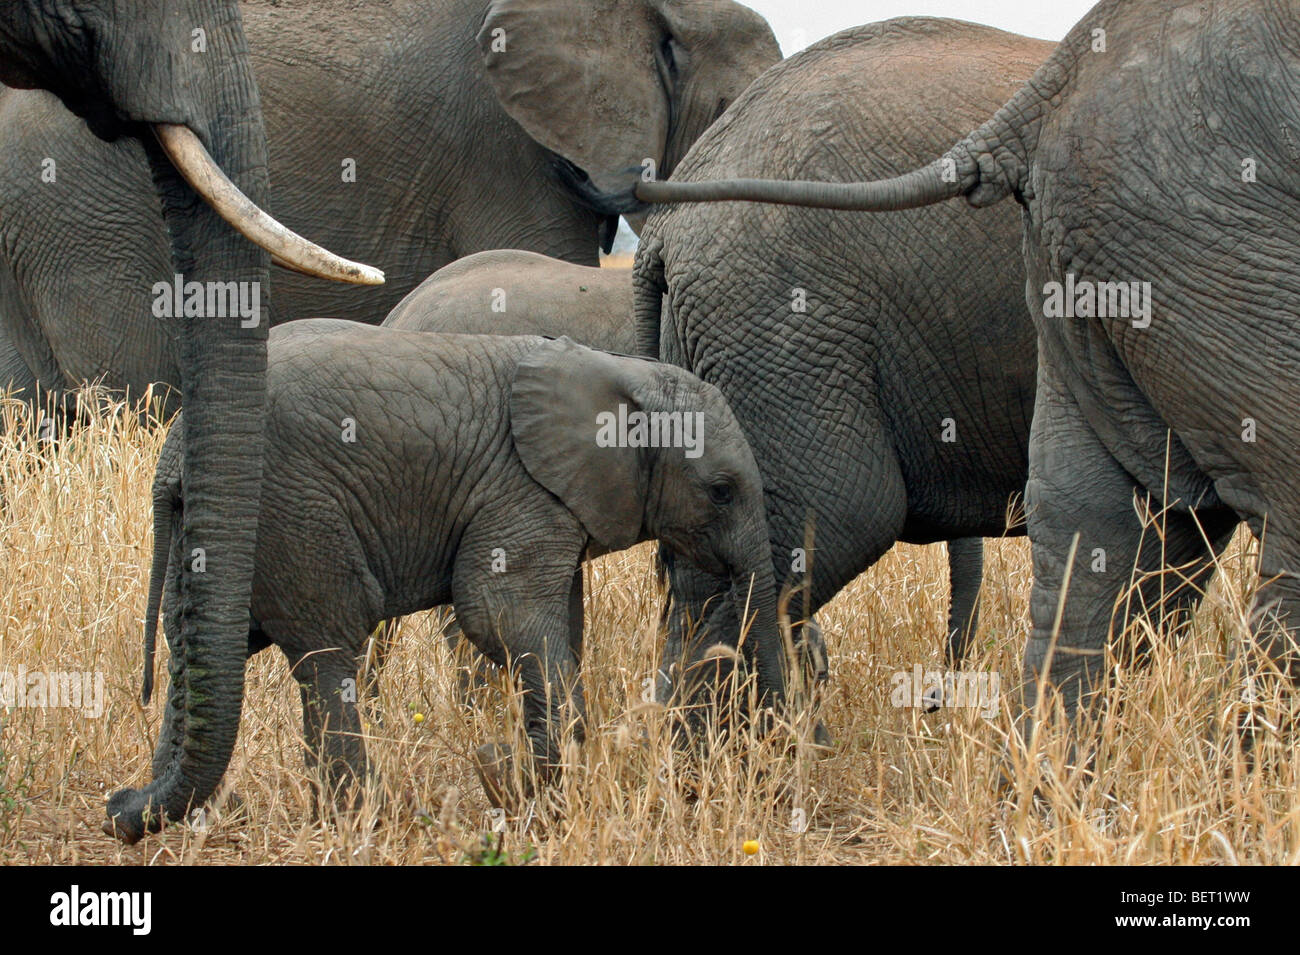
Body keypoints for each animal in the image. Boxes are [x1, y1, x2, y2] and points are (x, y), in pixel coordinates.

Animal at [139, 319, 783, 820]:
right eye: (721, 492)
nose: (777, 744)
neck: (625, 374)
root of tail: (173, 454)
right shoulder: (520, 489)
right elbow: (499, 614)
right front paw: (514, 779)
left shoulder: (553, 503)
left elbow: (560, 627)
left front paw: (523, 776)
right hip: (290, 509)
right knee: (328, 648)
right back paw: (364, 819)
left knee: (192, 645)